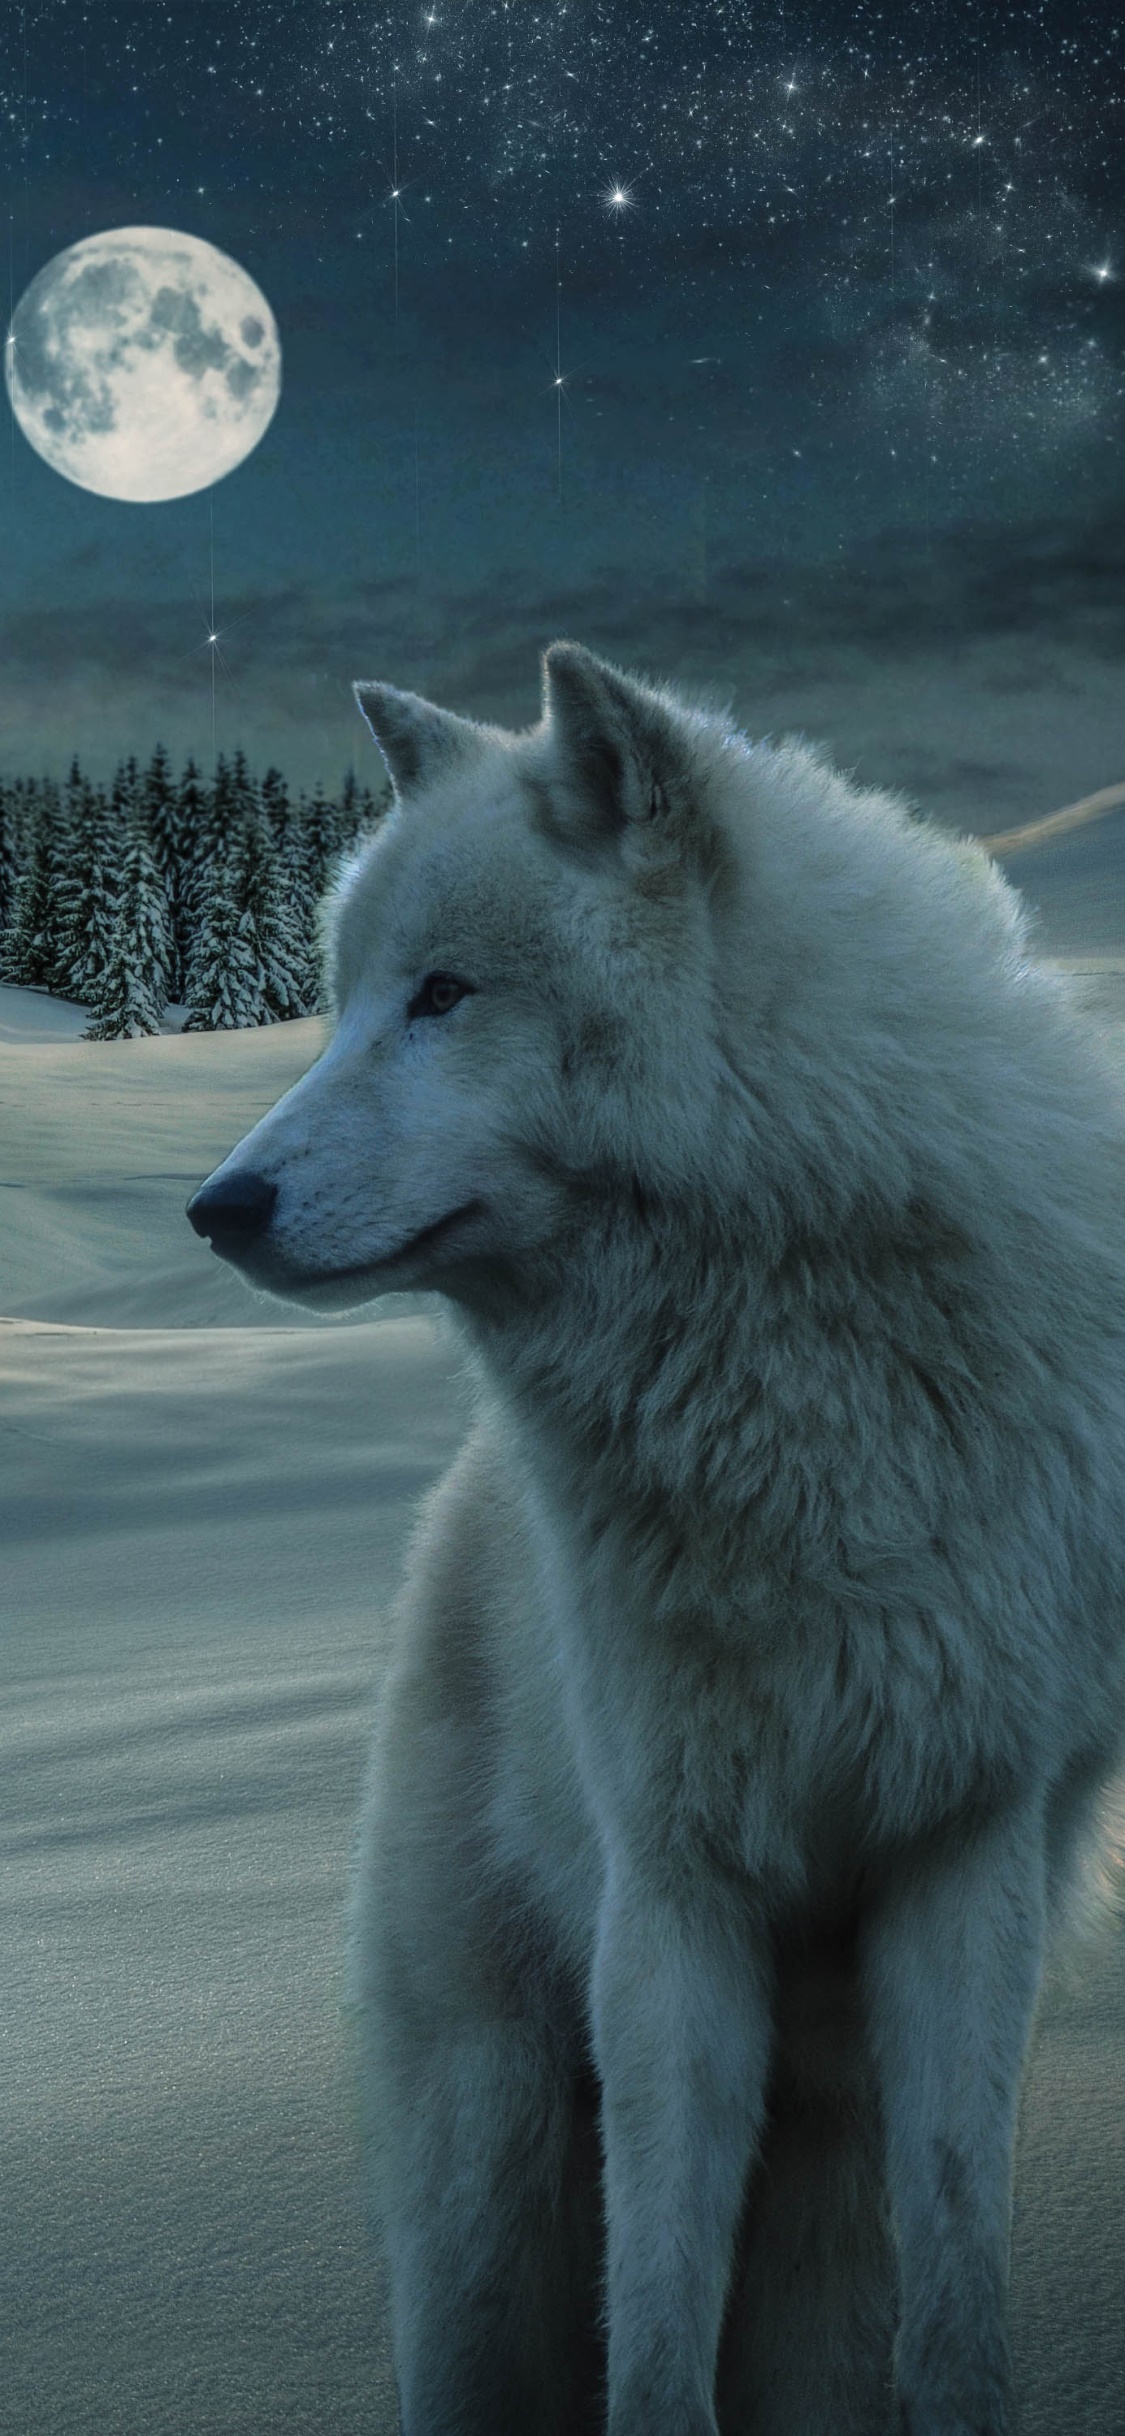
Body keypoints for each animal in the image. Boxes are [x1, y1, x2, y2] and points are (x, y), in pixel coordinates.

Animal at [188, 643, 1125, 2435]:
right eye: (345, 999)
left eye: (444, 995)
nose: (218, 1207)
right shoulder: (672, 1893)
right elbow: (657, 2315)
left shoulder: (963, 1853)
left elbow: (955, 2282)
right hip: (487, 2167)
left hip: (824, 2184)